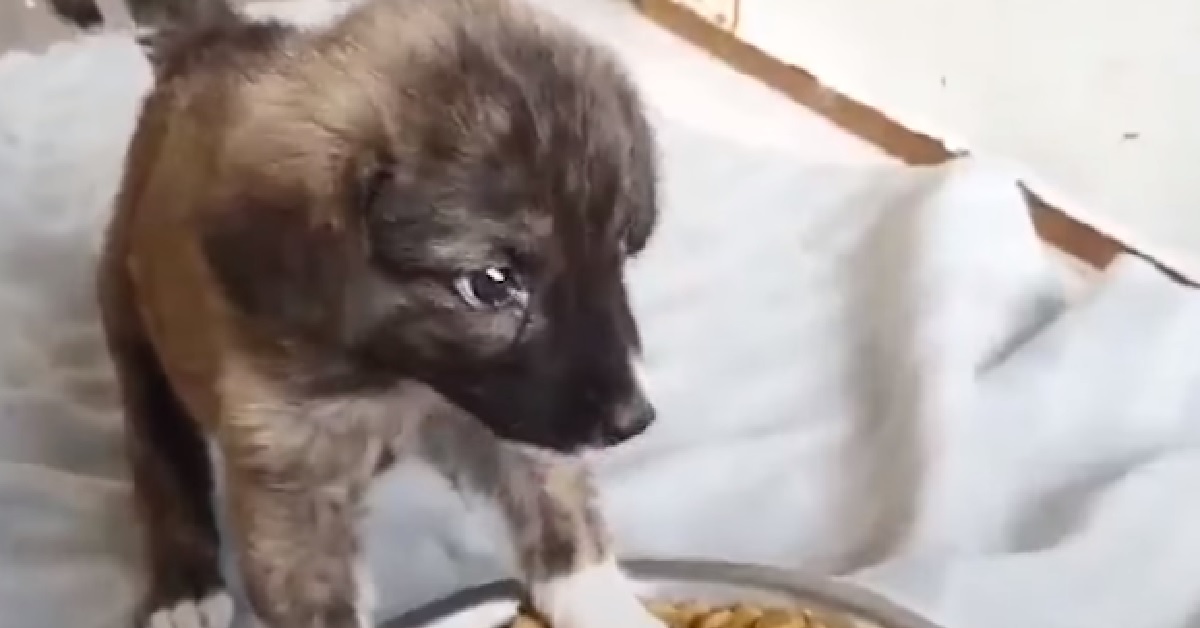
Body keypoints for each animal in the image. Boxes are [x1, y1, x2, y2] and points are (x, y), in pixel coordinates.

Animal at [56, 0, 662, 624]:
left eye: (618, 251)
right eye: (492, 283)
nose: (634, 420)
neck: (400, 378)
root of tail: (212, 37)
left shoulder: (518, 417)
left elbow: (564, 515)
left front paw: (610, 606)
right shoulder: (291, 474)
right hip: (131, 311)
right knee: (158, 448)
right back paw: (185, 585)